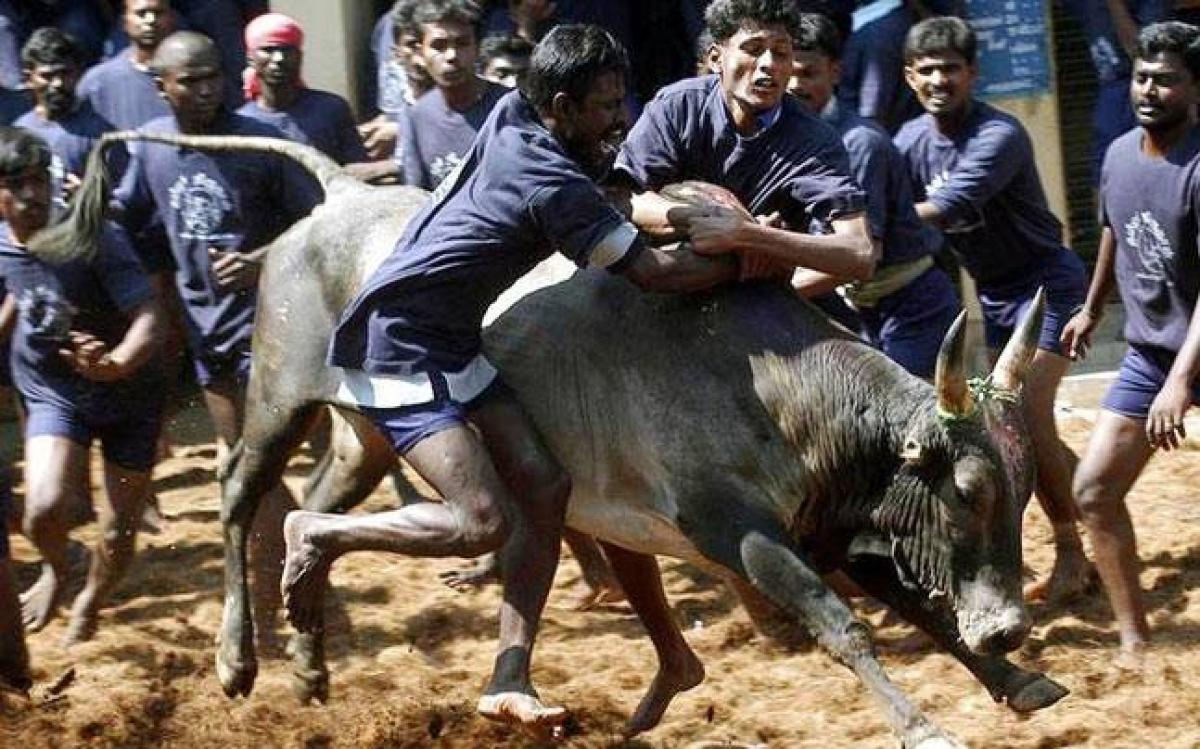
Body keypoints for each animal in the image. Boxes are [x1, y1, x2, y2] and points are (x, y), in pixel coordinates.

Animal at [39, 134, 1070, 749]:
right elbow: (841, 621)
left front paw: (1017, 677)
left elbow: (917, 607)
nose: (1011, 622)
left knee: (318, 511)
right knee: (241, 496)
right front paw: (924, 723)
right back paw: (238, 658)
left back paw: (310, 651)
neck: (788, 389)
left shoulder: (828, 529)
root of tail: (332, 199)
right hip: (277, 396)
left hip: (365, 433)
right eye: (969, 489)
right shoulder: (740, 530)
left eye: (1019, 492)